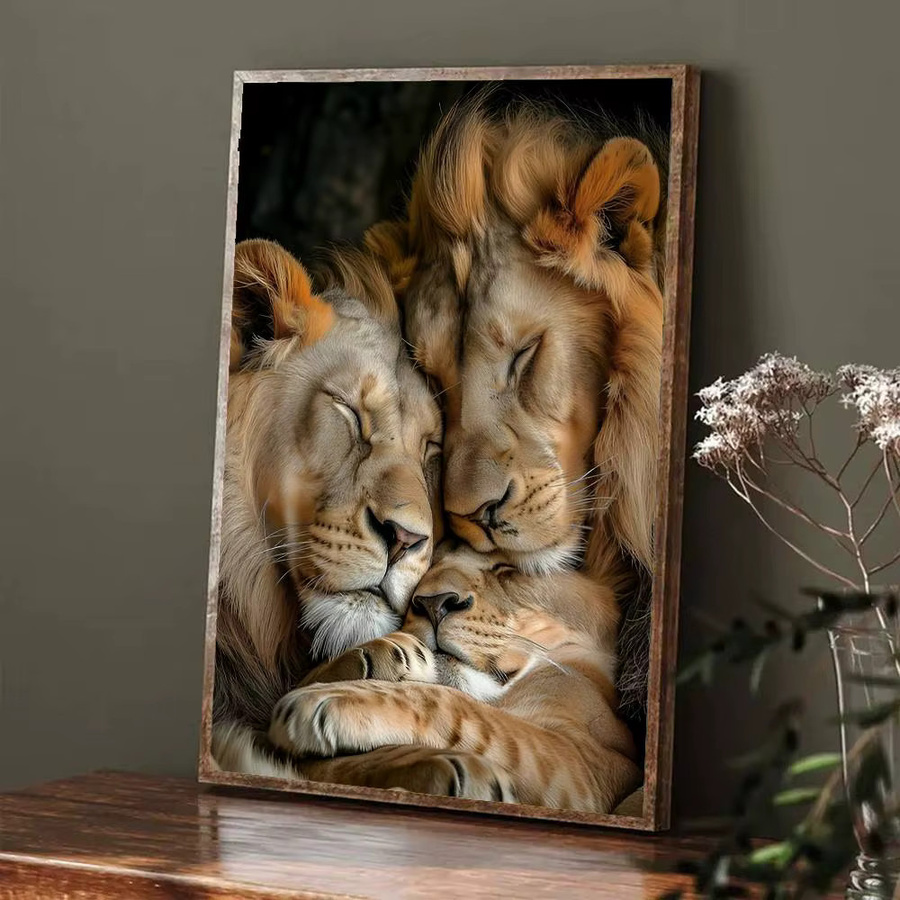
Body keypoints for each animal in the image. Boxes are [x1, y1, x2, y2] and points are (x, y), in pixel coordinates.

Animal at [268, 541, 642, 813]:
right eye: (427, 566)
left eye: (508, 569)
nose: (433, 604)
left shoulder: (593, 762)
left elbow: (459, 705)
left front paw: (325, 701)